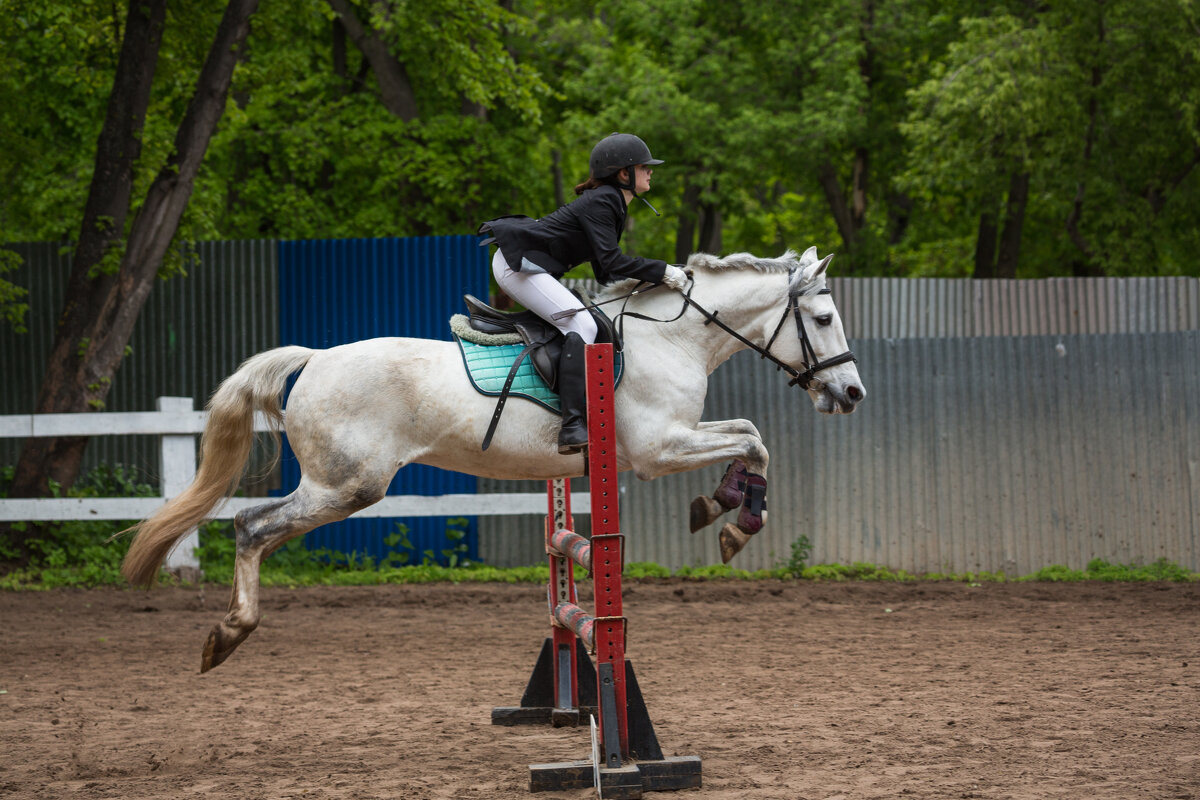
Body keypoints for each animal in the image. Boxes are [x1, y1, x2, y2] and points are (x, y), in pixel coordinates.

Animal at [121, 247, 868, 671]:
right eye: (824, 319)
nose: (851, 394)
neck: (674, 336)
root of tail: (315, 360)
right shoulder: (659, 449)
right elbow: (754, 438)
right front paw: (736, 518)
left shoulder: (676, 438)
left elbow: (749, 434)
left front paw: (725, 507)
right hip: (347, 486)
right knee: (251, 526)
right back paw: (228, 635)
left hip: (341, 485)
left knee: (254, 527)